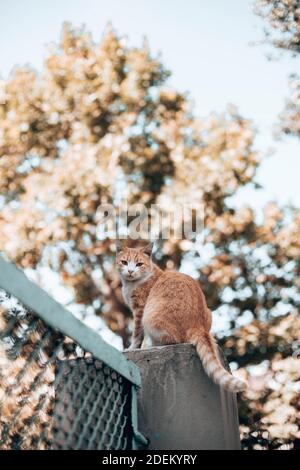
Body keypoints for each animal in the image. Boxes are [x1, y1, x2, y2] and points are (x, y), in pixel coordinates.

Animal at [116, 242, 247, 392]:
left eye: (139, 264)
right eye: (124, 262)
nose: (130, 271)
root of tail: (197, 326)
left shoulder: (140, 310)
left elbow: (137, 334)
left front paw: (132, 348)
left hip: (149, 317)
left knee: (173, 340)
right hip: (209, 312)